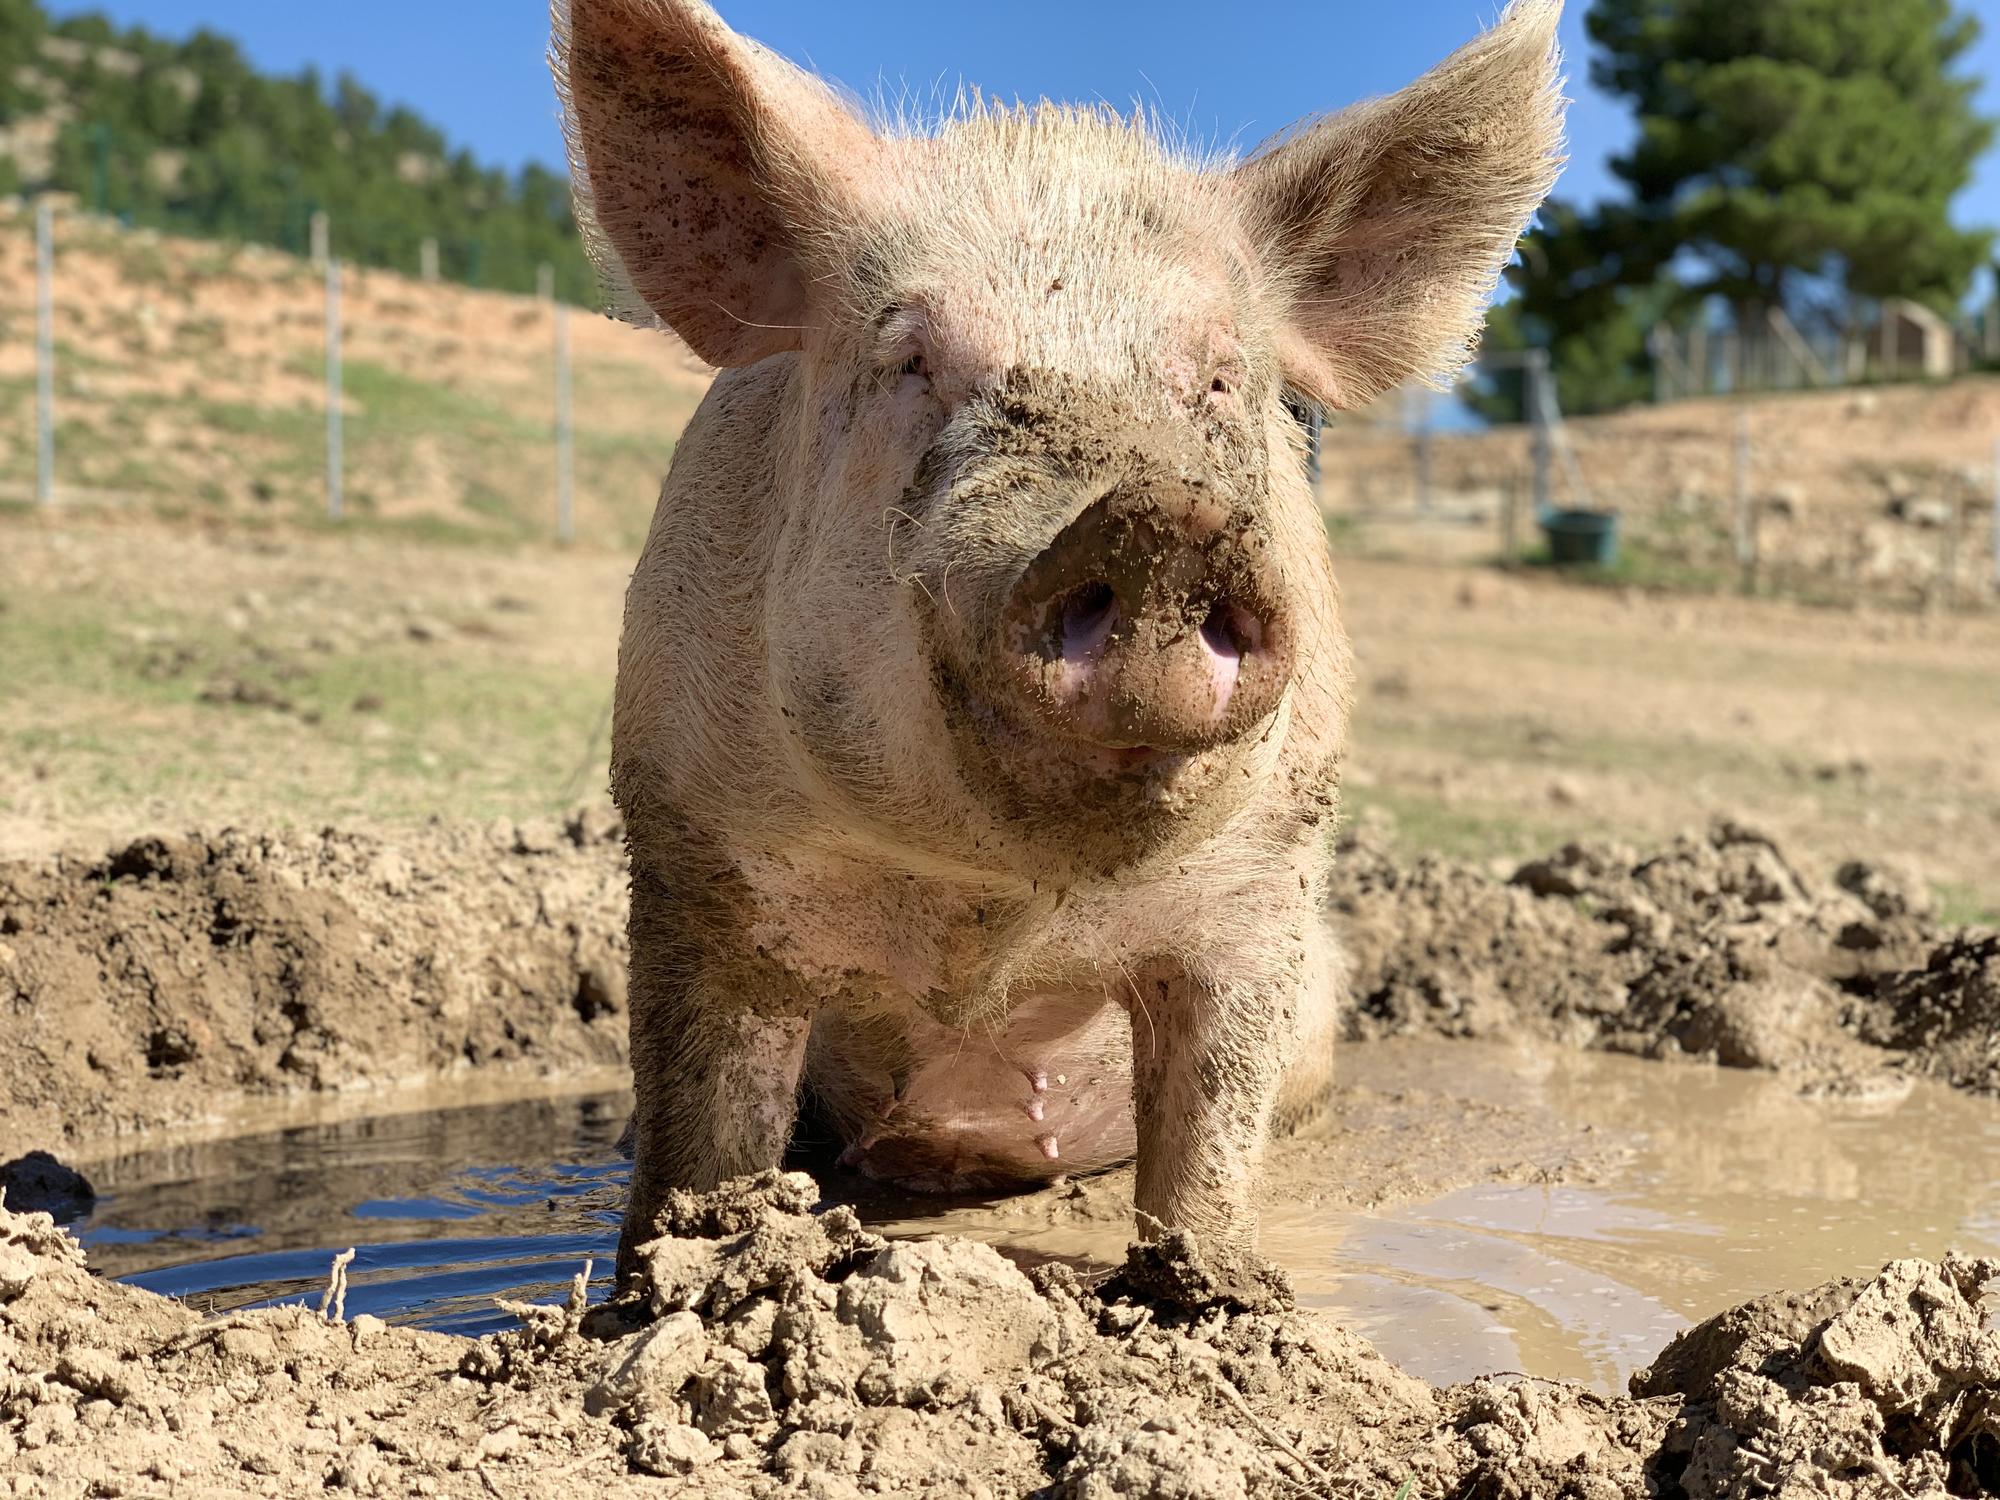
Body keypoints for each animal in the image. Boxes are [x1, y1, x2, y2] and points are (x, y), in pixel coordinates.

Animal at [556, 0, 1568, 1280]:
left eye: (1220, 378)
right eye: (907, 358)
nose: (1156, 523)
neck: (994, 918)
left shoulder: (1262, 890)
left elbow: (1205, 1137)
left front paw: (1209, 1285)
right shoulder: (695, 849)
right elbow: (703, 1140)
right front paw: (679, 1272)